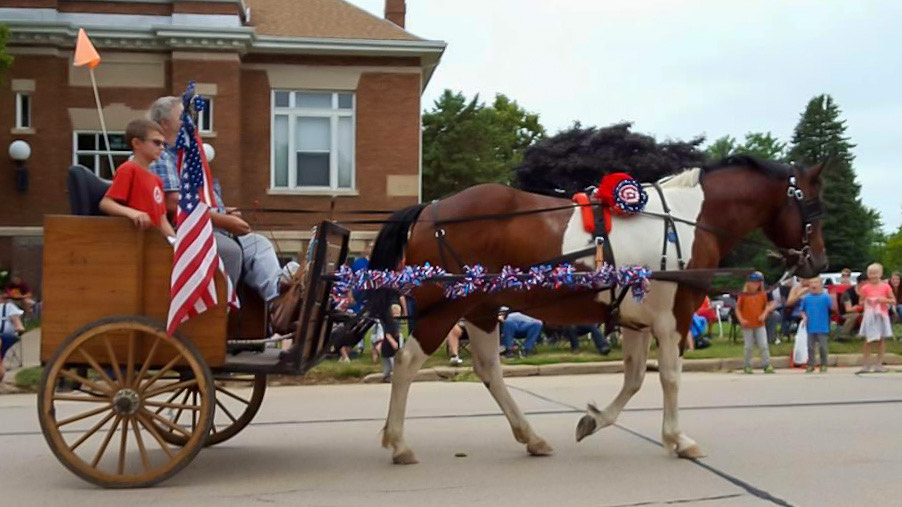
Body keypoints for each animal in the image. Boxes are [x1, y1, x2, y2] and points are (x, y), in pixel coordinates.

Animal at [366, 155, 828, 464]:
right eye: (815, 208)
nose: (818, 262)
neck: (685, 221)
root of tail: (431, 209)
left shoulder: (638, 323)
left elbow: (636, 378)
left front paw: (594, 420)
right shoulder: (672, 318)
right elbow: (670, 377)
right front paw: (678, 439)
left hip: (479, 309)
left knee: (489, 372)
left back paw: (530, 436)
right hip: (445, 308)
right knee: (405, 363)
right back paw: (398, 442)